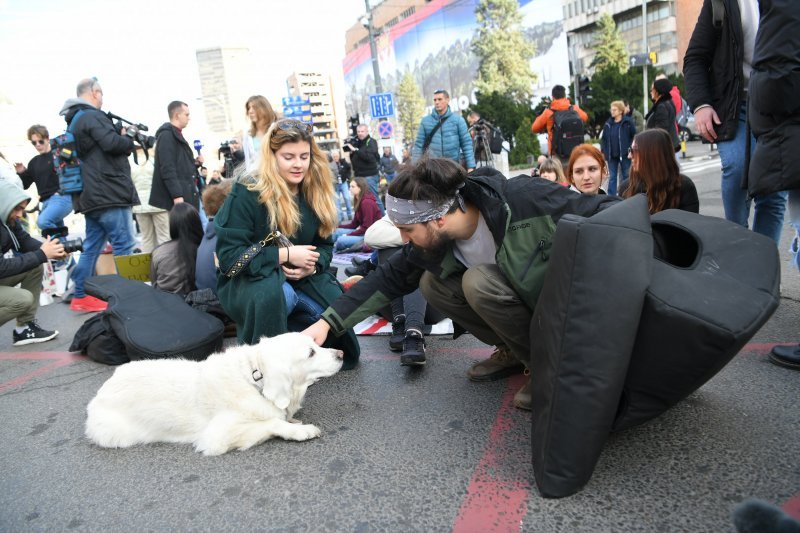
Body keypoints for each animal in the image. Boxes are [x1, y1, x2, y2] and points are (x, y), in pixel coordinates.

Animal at [85, 332, 344, 454]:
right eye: (310, 353)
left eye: (316, 343)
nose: (341, 354)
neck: (255, 379)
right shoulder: (216, 437)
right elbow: (272, 422)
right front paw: (301, 430)